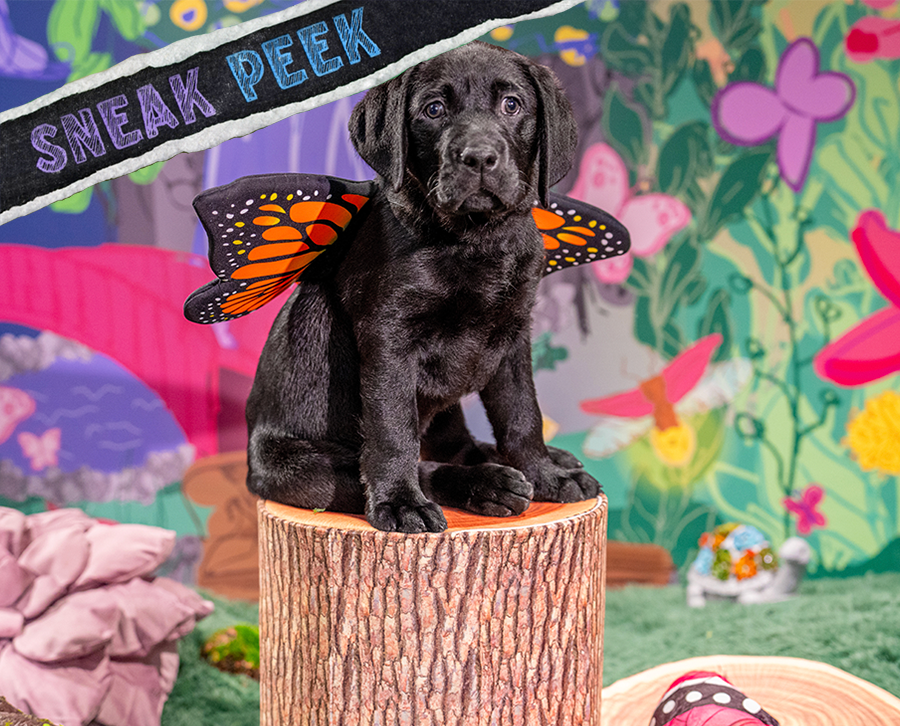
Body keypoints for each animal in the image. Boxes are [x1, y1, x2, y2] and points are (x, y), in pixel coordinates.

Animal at [243, 41, 600, 536]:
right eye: (433, 109)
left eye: (512, 105)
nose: (479, 158)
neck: (473, 238)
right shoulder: (388, 341)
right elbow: (394, 433)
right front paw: (399, 502)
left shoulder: (513, 334)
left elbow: (522, 414)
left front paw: (546, 474)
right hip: (297, 466)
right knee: (403, 463)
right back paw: (488, 484)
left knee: (460, 445)